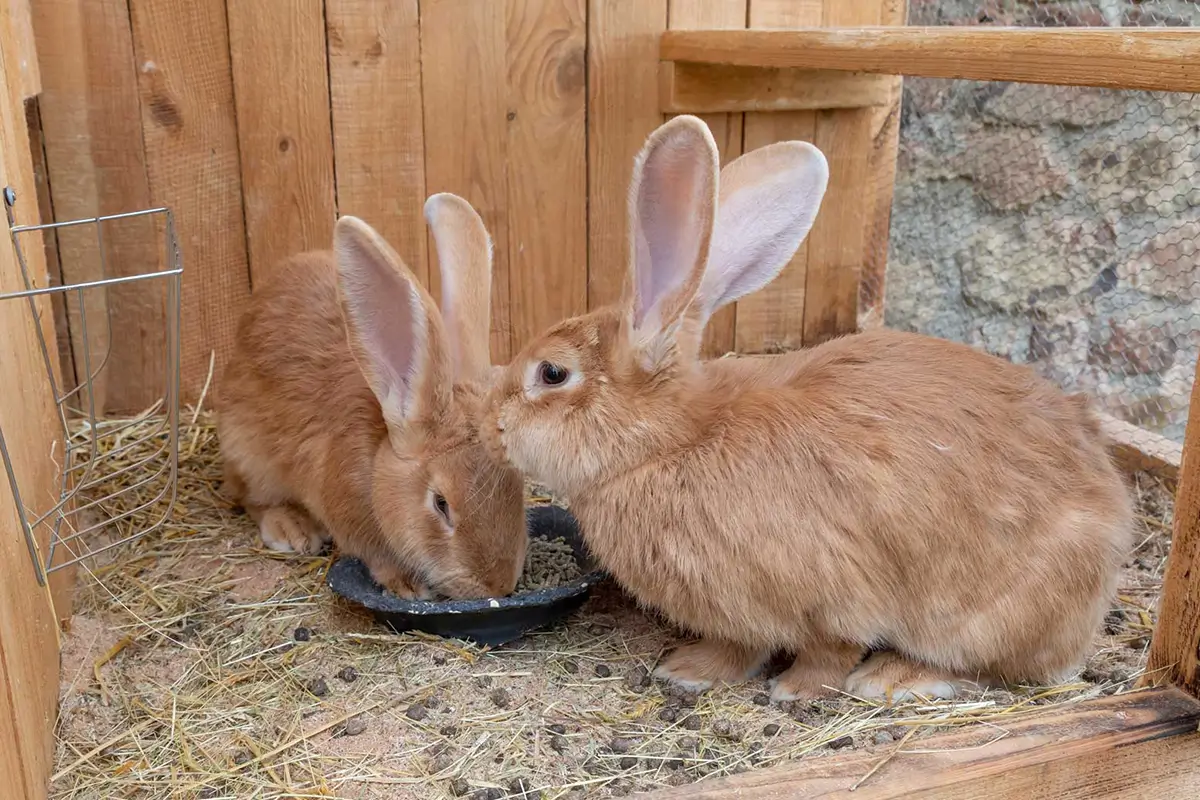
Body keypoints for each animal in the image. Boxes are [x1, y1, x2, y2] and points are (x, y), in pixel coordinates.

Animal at [218, 195, 528, 599]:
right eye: (441, 503)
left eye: (519, 485)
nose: (499, 584)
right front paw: (409, 585)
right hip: (249, 454)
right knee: (250, 497)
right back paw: (290, 528)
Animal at [480, 115, 1132, 705]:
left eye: (552, 373)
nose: (491, 426)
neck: (672, 440)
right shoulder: (738, 616)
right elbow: (736, 647)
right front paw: (689, 671)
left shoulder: (834, 597)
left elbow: (829, 649)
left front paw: (795, 690)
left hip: (984, 618)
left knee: (988, 667)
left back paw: (892, 678)